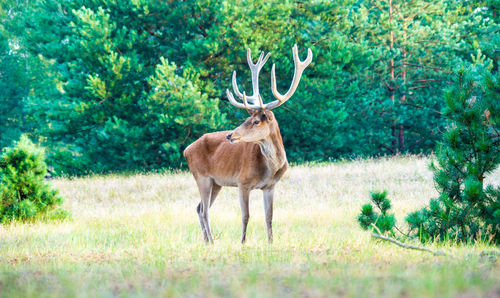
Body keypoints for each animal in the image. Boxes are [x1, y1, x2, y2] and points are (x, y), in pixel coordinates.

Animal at [182, 45, 310, 243]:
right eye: (246, 118)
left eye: (256, 121)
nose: (229, 135)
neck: (270, 168)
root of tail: (186, 150)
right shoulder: (242, 182)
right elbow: (245, 215)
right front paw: (242, 242)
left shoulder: (270, 186)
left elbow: (269, 216)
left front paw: (271, 242)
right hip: (201, 176)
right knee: (204, 211)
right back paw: (212, 241)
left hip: (216, 182)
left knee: (199, 207)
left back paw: (206, 241)